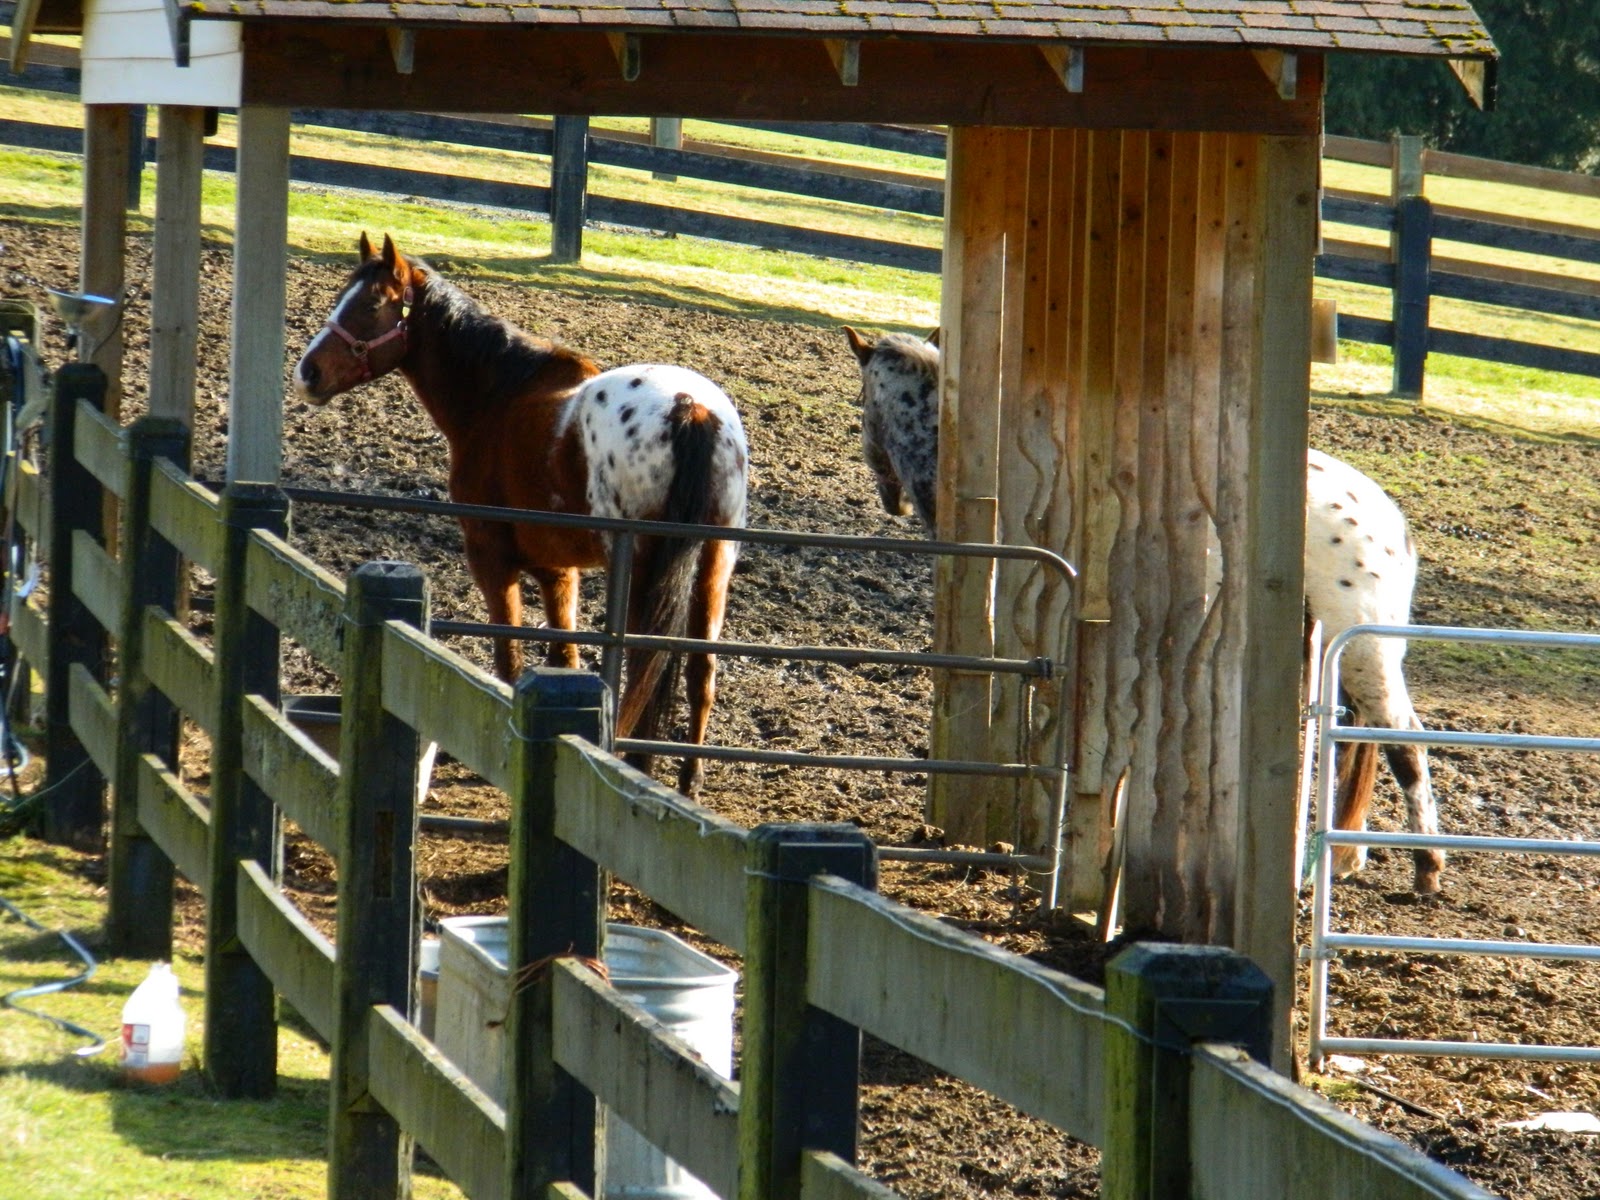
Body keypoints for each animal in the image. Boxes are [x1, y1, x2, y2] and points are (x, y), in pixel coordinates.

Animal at [293, 233, 749, 796]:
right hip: (713, 564)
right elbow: (564, 654)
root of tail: (691, 408)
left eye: (373, 305)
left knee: (650, 663)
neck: (497, 396)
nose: (308, 373)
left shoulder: (490, 557)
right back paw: (687, 781)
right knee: (699, 671)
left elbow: (508, 653)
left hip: (649, 573)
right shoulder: (558, 571)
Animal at [841, 326, 1442, 893]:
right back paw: (1342, 859)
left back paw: (1426, 866)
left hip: (1364, 652)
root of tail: (1389, 520)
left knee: (1404, 743)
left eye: (862, 402)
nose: (891, 498)